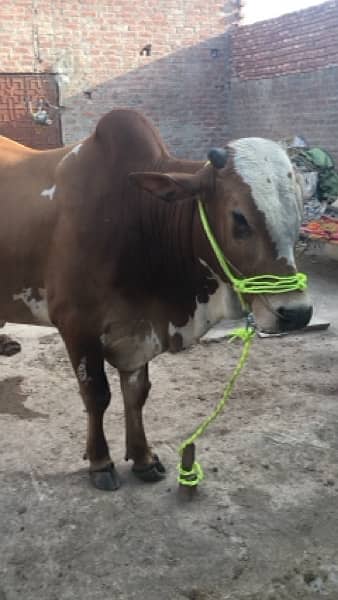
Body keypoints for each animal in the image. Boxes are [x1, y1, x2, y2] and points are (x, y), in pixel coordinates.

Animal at [0, 110, 312, 490]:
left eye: (299, 212)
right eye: (239, 218)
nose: (296, 313)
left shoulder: (139, 328)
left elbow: (136, 393)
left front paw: (143, 457)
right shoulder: (76, 324)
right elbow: (96, 395)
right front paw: (100, 462)